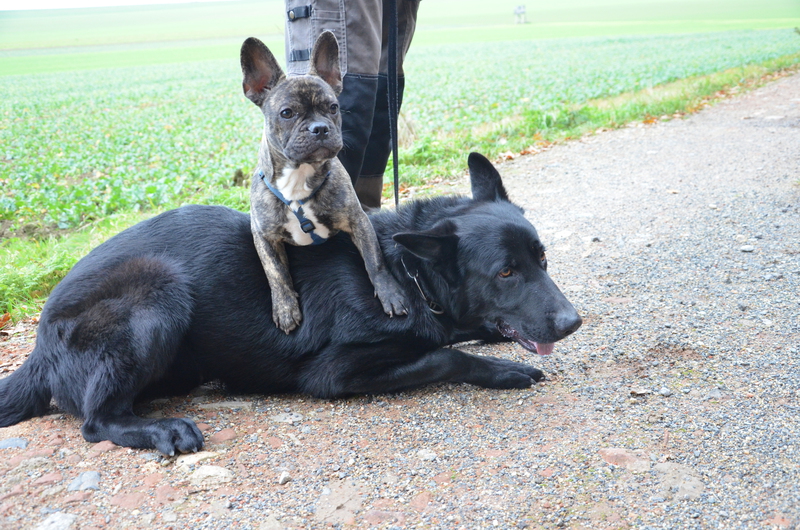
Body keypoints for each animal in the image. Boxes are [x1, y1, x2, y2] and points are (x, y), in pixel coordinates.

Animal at [0, 153, 582, 455]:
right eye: (505, 273)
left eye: (542, 260)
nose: (573, 322)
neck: (406, 271)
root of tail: (37, 347)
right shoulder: (333, 373)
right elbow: (444, 356)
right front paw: (502, 370)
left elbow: (452, 338)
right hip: (156, 291)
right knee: (95, 421)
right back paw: (160, 428)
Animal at [242, 32, 407, 333]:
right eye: (287, 113)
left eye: (333, 108)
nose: (319, 128)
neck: (298, 179)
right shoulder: (264, 235)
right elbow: (276, 273)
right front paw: (285, 308)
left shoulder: (358, 221)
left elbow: (375, 261)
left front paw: (391, 293)